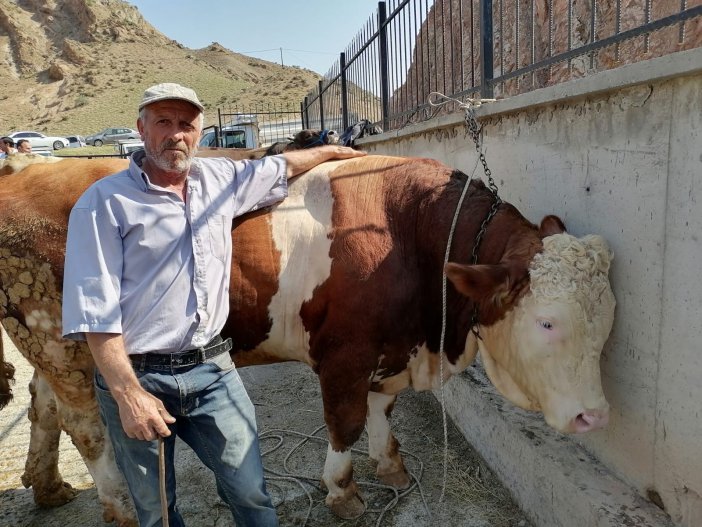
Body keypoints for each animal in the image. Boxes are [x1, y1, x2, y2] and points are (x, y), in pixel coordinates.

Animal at [0, 155, 616, 524]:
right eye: (547, 322)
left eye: (608, 320)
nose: (593, 416)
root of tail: (22, 173)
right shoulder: (344, 354)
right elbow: (346, 421)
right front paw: (343, 491)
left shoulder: (389, 348)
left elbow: (382, 408)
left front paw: (390, 465)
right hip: (60, 340)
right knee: (85, 424)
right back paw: (119, 506)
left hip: (46, 344)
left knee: (42, 405)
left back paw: (48, 487)